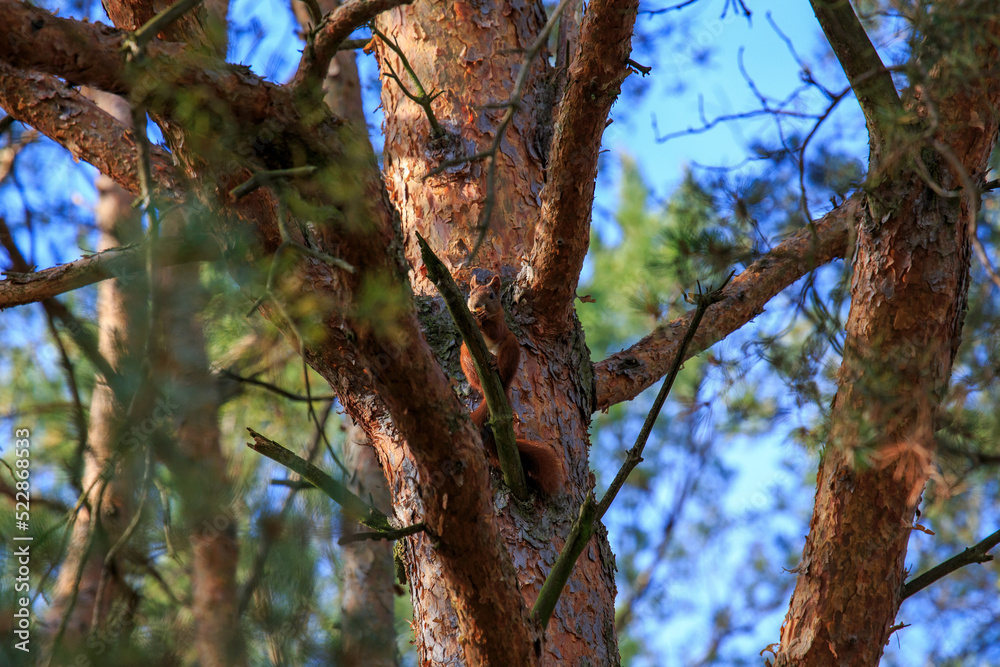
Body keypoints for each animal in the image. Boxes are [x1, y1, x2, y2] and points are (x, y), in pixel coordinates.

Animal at [459, 274, 565, 495]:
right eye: (470, 294)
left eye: (491, 295)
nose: (476, 306)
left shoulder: (501, 324)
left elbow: (495, 332)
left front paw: (483, 318)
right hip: (464, 351)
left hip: (511, 345)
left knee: (504, 364)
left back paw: (496, 367)